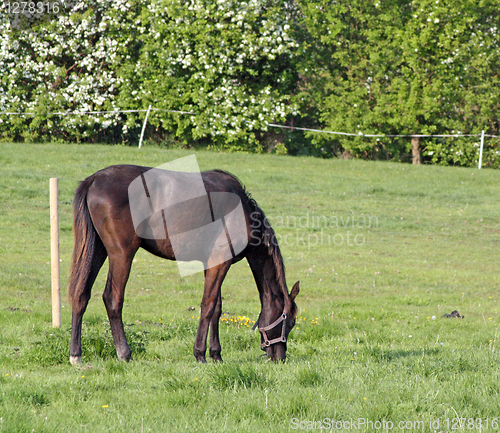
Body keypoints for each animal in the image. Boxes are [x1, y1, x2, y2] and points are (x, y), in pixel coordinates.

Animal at [68, 164, 298, 362]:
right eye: (290, 322)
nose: (280, 357)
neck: (242, 213)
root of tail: (94, 180)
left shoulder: (211, 264)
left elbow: (217, 308)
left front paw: (216, 354)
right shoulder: (219, 263)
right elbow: (208, 306)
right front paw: (200, 354)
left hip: (98, 249)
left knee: (81, 295)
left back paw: (76, 354)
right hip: (122, 254)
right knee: (112, 298)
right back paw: (124, 353)